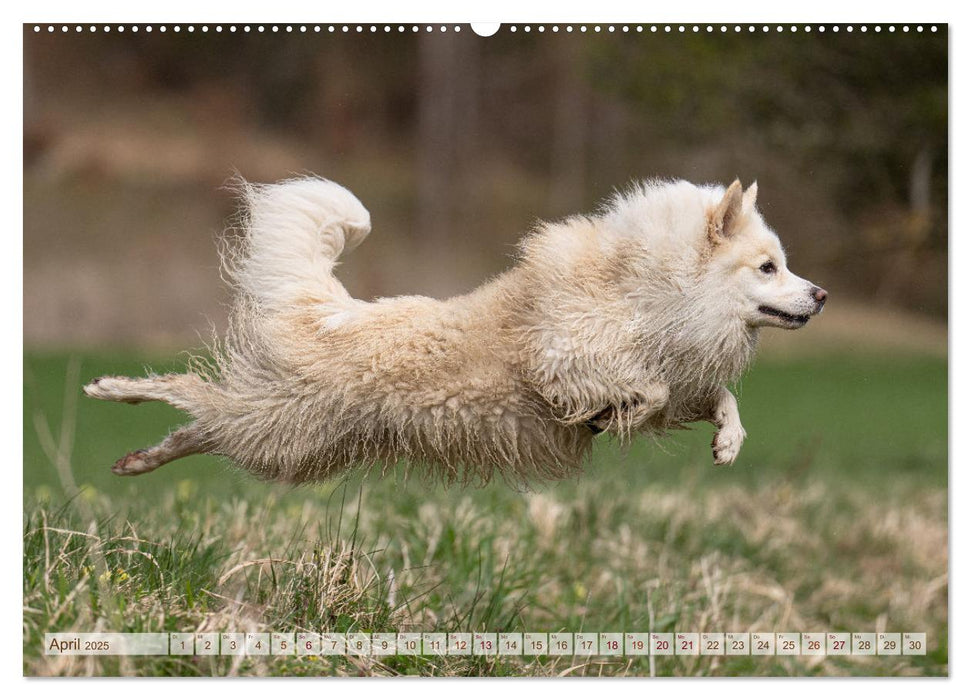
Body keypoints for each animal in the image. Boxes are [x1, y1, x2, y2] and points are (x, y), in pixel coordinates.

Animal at [83, 178, 828, 486]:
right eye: (768, 267)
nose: (821, 295)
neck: (648, 292)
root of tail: (328, 308)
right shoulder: (565, 360)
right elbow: (641, 392)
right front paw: (605, 413)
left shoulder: (680, 378)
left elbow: (713, 398)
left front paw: (727, 443)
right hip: (277, 420)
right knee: (187, 389)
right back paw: (113, 389)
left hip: (285, 443)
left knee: (198, 428)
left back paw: (134, 460)